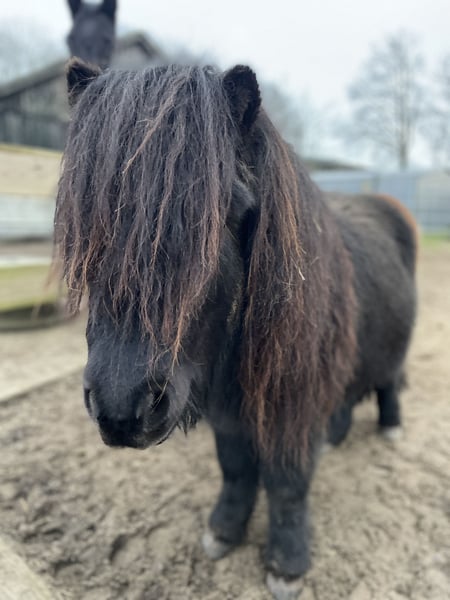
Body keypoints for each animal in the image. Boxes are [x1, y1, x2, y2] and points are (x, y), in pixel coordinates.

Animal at [54, 59, 417, 600]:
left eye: (226, 213)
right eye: (88, 223)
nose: (121, 408)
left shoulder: (292, 410)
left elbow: (287, 485)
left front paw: (287, 564)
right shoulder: (226, 412)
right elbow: (236, 469)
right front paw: (223, 532)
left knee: (389, 381)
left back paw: (391, 427)